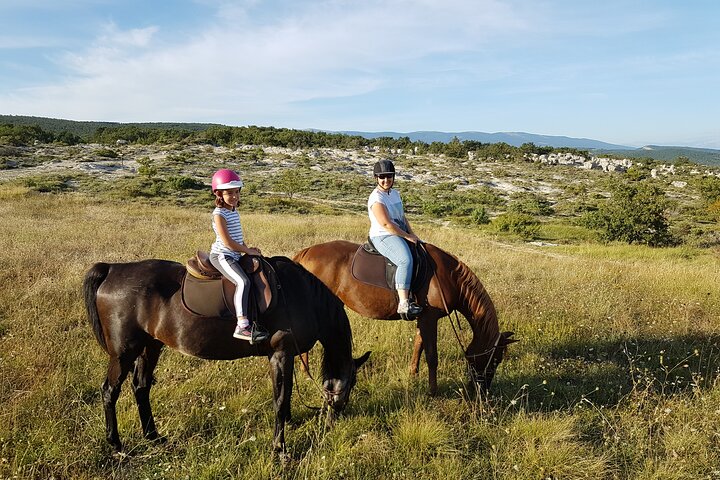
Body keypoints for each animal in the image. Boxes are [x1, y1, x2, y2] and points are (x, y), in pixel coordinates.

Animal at [83, 256, 370, 455]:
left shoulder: (280, 356)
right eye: (353, 383)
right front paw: (280, 448)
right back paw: (116, 444)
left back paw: (153, 435)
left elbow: (283, 395)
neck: (300, 295)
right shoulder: (281, 353)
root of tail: (112, 269)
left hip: (150, 346)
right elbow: (280, 399)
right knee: (110, 391)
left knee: (141, 387)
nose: (335, 418)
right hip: (123, 353)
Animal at [293, 240, 516, 396]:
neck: (448, 277)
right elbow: (431, 355)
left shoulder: (423, 318)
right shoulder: (429, 318)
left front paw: (413, 374)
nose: (482, 389)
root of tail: (306, 252)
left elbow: (418, 345)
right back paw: (306, 372)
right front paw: (432, 391)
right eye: (495, 359)